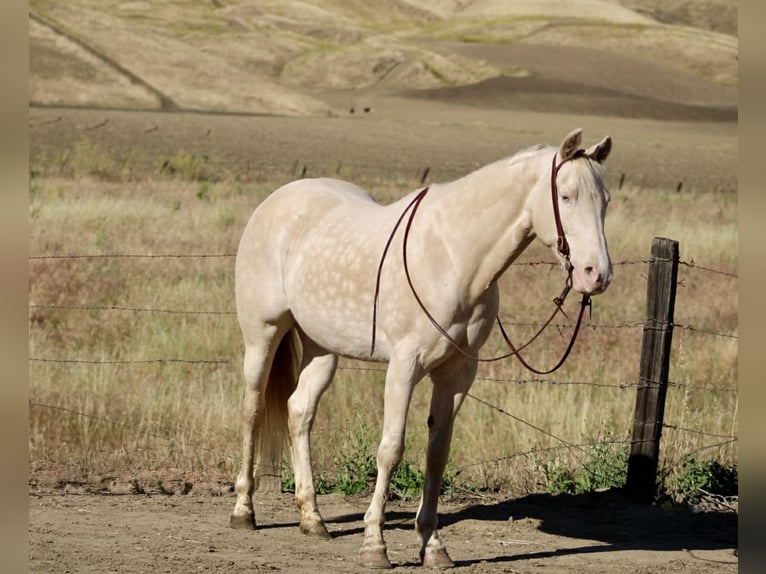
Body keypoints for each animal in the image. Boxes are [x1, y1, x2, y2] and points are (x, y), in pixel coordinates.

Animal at [229, 128, 613, 569]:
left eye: (605, 199)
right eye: (566, 196)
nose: (596, 275)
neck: (454, 258)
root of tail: (275, 201)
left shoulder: (457, 373)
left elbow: (437, 453)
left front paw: (432, 545)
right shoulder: (404, 366)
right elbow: (391, 450)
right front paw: (374, 545)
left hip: (321, 347)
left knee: (299, 411)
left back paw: (312, 518)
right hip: (263, 335)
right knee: (253, 410)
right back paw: (243, 510)